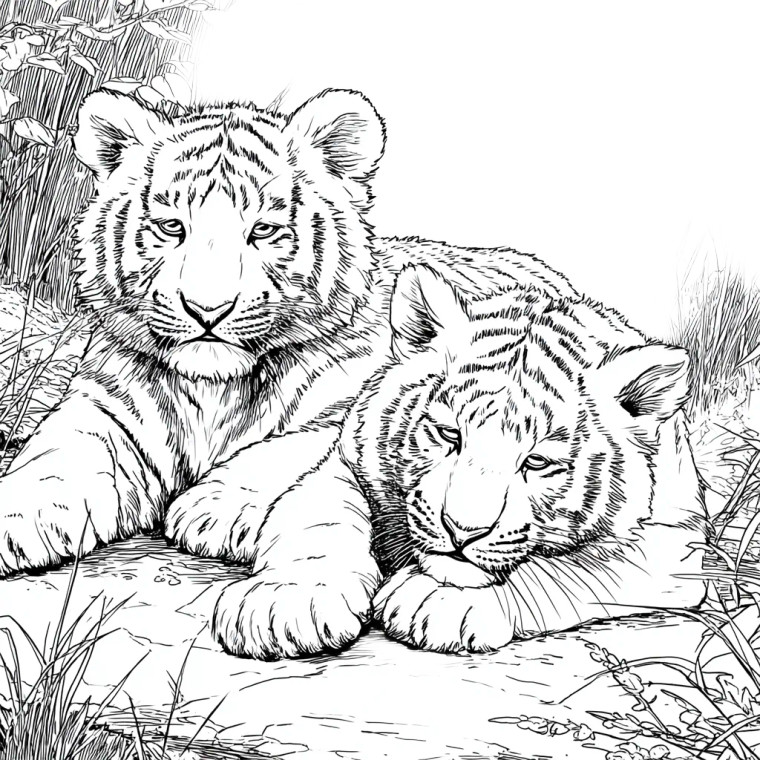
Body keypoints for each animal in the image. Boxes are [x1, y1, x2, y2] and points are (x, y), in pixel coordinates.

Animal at [0, 86, 583, 660]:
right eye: (171, 228)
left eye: (263, 231)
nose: (206, 310)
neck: (216, 389)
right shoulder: (104, 409)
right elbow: (52, 460)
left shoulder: (347, 412)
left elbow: (282, 452)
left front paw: (220, 515)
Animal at [316, 264, 710, 653]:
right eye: (449, 434)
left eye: (536, 463)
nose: (462, 532)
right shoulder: (346, 458)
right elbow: (324, 512)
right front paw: (313, 602)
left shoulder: (673, 540)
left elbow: (574, 570)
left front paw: (437, 602)